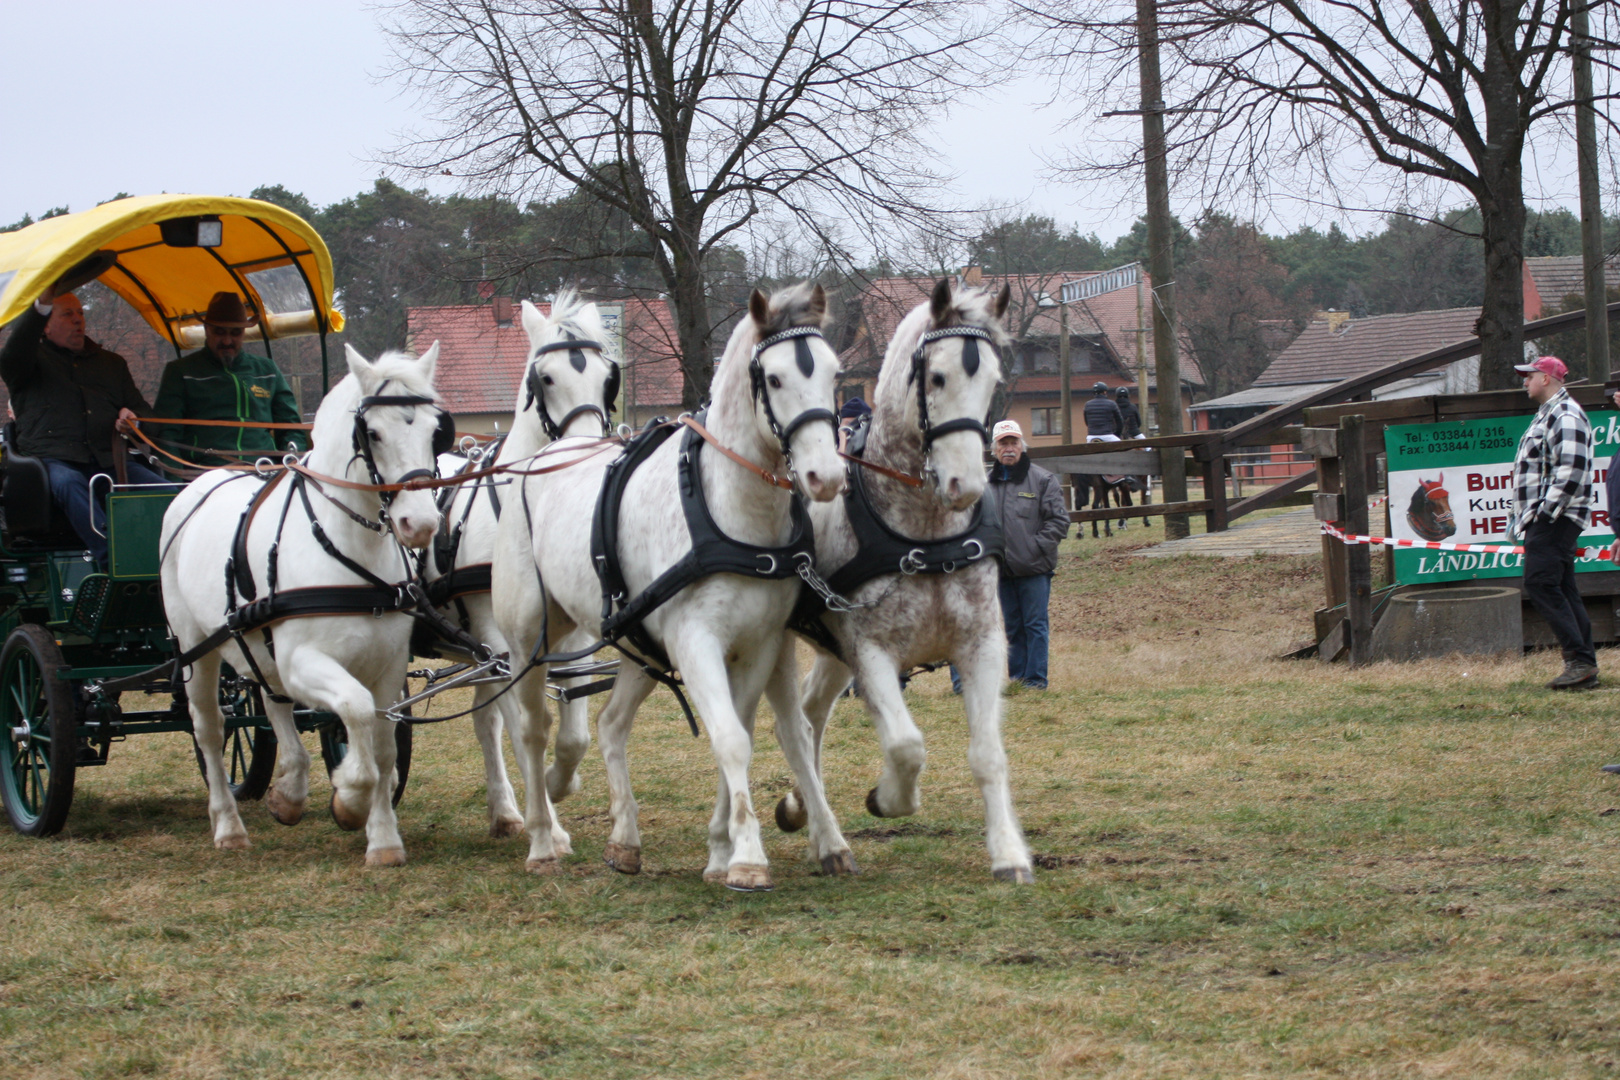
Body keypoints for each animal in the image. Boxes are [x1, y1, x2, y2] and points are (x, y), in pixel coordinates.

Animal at [163, 346, 443, 867]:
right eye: (372, 432)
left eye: (436, 430)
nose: (420, 524)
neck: (348, 549)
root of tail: (199, 482)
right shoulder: (304, 662)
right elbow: (355, 711)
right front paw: (350, 798)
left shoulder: (388, 666)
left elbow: (383, 748)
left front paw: (383, 839)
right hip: (196, 648)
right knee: (210, 729)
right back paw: (228, 825)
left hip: (258, 646)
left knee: (272, 704)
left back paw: (289, 792)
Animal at [421, 291, 615, 841]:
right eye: (544, 378)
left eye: (607, 376)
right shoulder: (502, 639)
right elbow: (523, 724)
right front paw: (546, 820)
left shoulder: (571, 634)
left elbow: (573, 735)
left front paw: (555, 785)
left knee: (482, 719)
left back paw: (504, 811)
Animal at [489, 283, 848, 893]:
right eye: (774, 379)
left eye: (833, 373)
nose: (827, 476)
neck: (730, 513)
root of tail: (540, 459)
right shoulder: (696, 641)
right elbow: (730, 739)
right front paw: (747, 858)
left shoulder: (756, 647)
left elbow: (742, 732)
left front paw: (722, 851)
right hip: (525, 641)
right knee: (533, 730)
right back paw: (542, 837)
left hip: (640, 644)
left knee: (609, 725)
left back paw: (624, 841)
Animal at [774, 278, 1036, 887]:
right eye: (935, 377)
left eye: (992, 380)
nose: (967, 484)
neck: (926, 534)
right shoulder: (872, 653)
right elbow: (905, 744)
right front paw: (890, 799)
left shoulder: (982, 644)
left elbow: (988, 754)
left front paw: (1009, 853)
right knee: (790, 726)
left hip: (832, 651)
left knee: (811, 716)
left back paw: (804, 810)